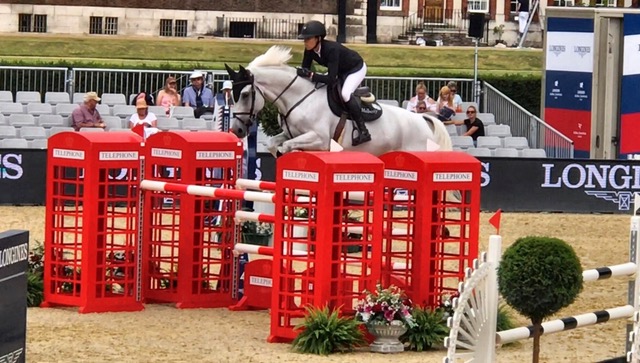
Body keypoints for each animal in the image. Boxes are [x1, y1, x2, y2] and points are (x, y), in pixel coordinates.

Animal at [225, 45, 450, 156]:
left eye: (245, 95)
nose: (237, 130)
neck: (298, 98)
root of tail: (423, 120)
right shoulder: (290, 133)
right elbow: (273, 144)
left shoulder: (320, 139)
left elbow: (287, 147)